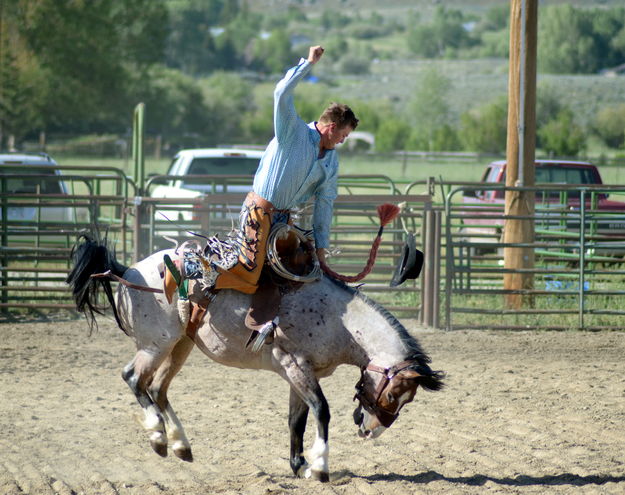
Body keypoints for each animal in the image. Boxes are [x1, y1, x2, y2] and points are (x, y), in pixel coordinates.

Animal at [67, 234, 444, 482]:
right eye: (394, 394)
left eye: (407, 400)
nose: (371, 431)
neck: (339, 319)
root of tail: (128, 270)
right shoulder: (295, 365)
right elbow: (322, 411)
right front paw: (320, 467)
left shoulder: (301, 374)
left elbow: (297, 419)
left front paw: (299, 465)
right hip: (155, 345)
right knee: (134, 378)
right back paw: (158, 436)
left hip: (180, 346)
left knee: (157, 389)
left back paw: (180, 445)